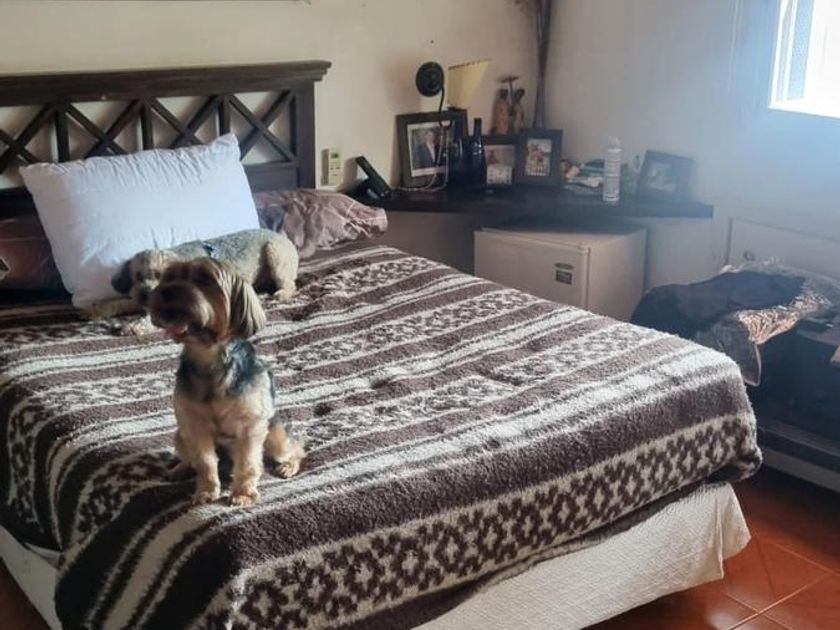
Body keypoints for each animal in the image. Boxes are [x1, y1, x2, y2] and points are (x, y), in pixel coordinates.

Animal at [88, 229, 298, 334]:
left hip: (274, 254)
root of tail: (284, 237)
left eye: (163, 277)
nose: (146, 294)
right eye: (138, 276)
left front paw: (133, 326)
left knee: (290, 284)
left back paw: (281, 294)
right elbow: (119, 302)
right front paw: (94, 310)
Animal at [148, 257, 304, 506]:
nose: (167, 291)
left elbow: (249, 462)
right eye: (169, 278)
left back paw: (288, 466)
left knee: (295, 448)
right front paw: (206, 491)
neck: (210, 357)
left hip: (275, 435)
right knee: (190, 457)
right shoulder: (194, 425)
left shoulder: (250, 426)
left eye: (205, 279)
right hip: (180, 435)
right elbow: (204, 461)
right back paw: (181, 468)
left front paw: (243, 493)